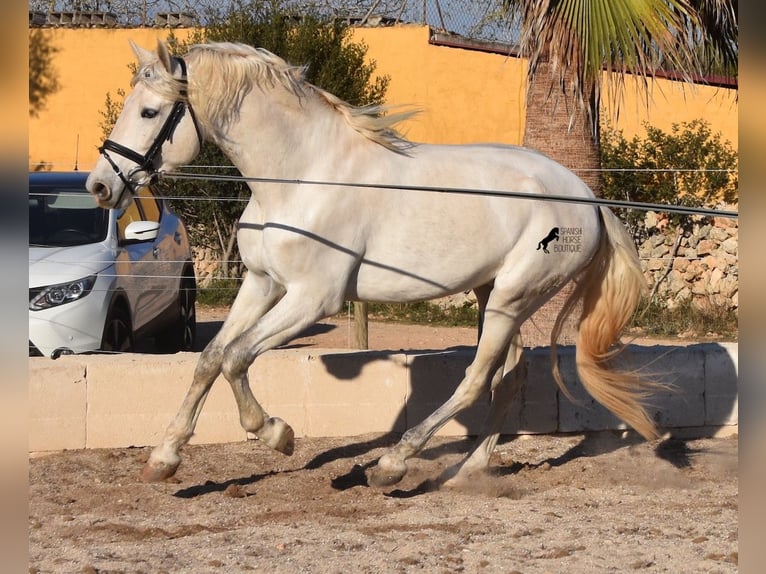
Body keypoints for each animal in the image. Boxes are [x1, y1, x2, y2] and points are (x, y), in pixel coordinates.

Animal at [82, 40, 660, 488]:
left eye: (149, 112)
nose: (100, 186)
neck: (303, 177)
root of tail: (586, 197)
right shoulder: (263, 284)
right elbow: (211, 358)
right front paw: (164, 459)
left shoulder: (312, 298)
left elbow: (236, 358)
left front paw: (277, 435)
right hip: (492, 294)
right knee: (510, 374)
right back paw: (469, 470)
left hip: (513, 296)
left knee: (478, 378)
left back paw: (392, 464)